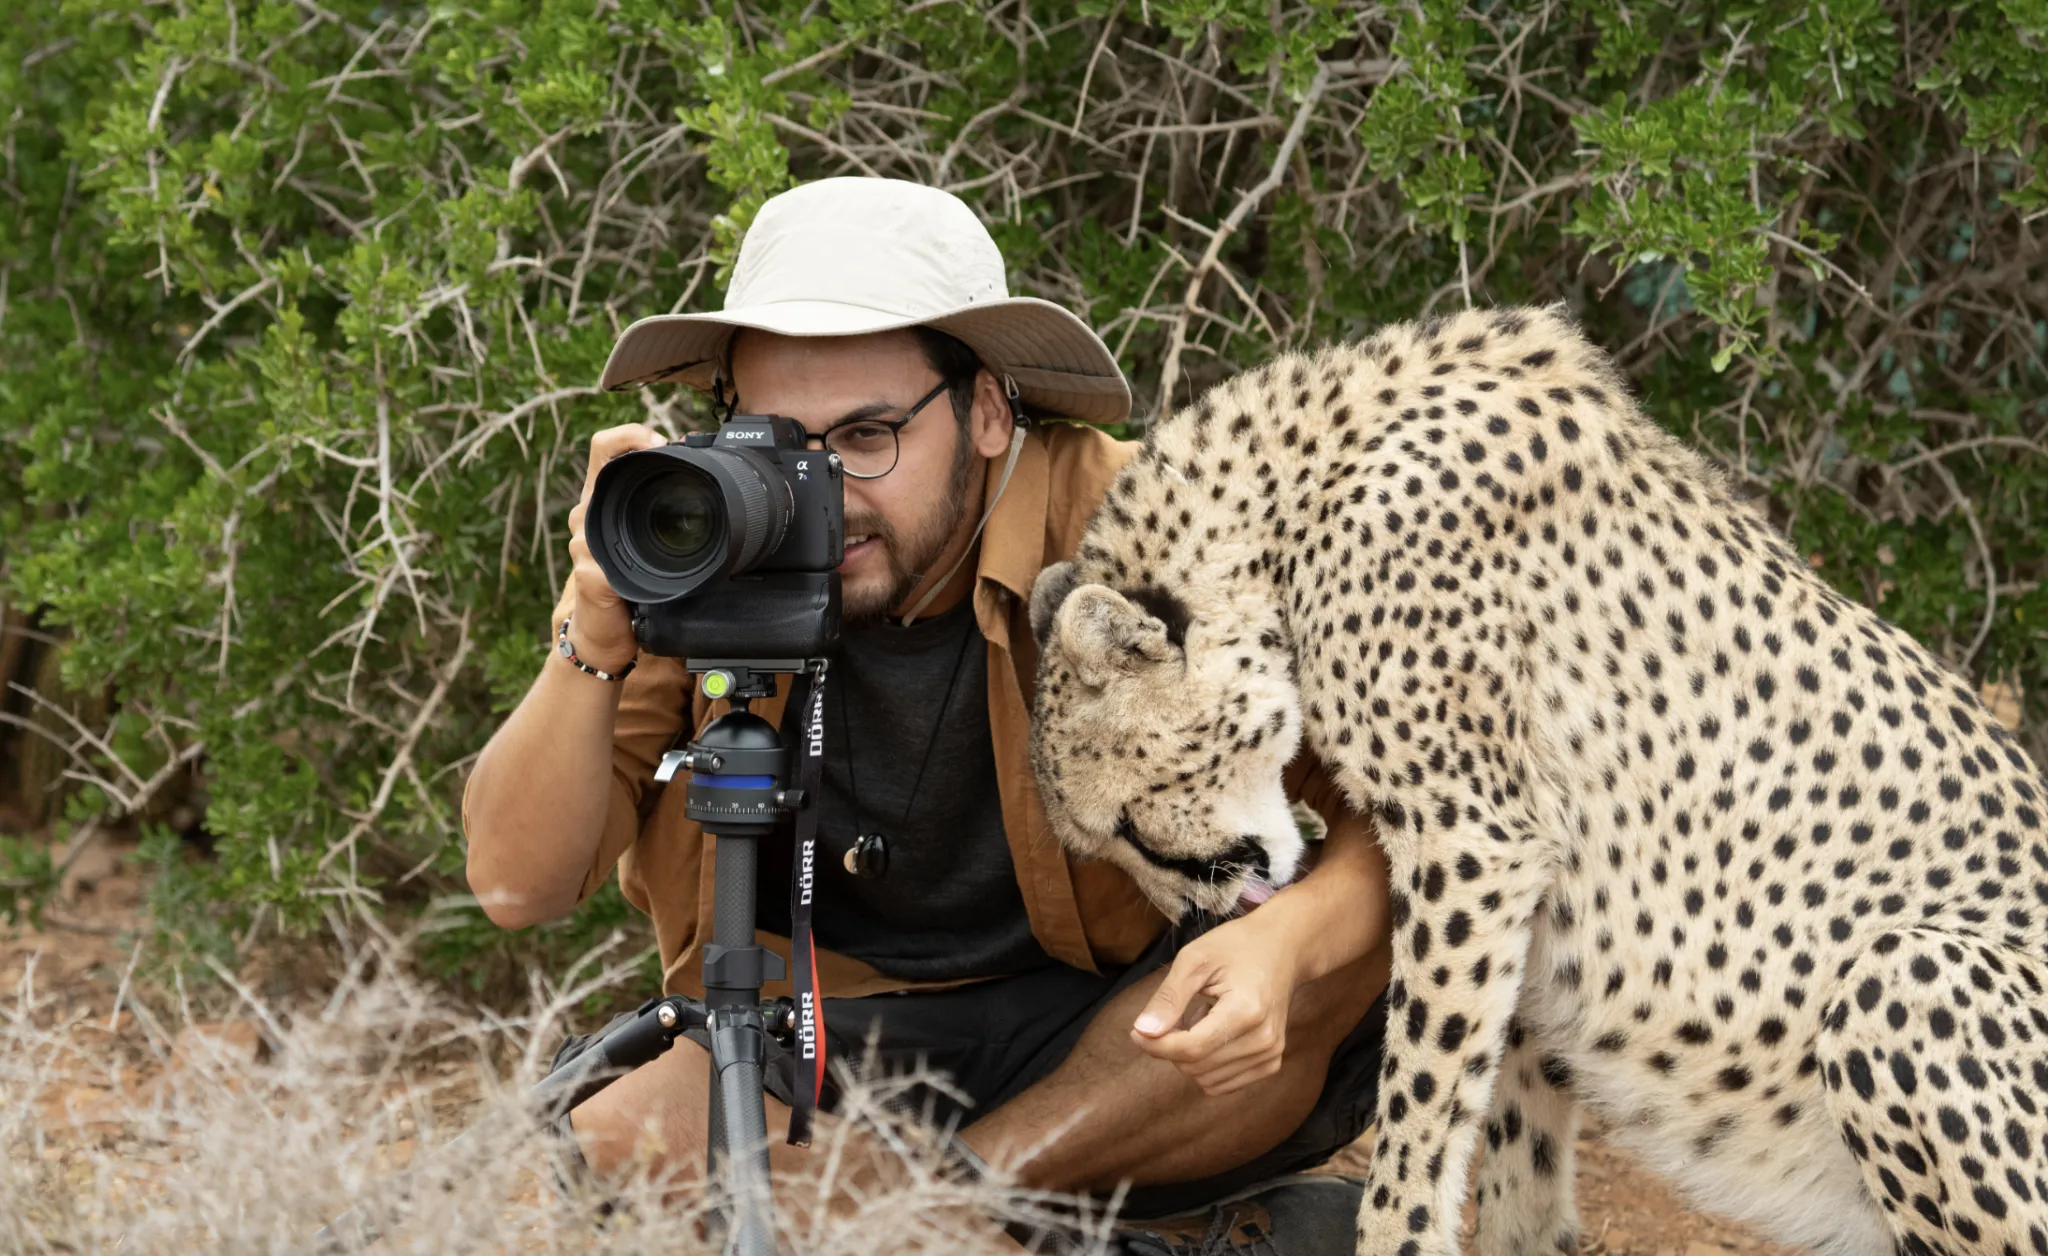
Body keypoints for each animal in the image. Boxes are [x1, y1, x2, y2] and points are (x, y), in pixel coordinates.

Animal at [1024, 305, 2048, 1253]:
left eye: (1128, 828)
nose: (1197, 919)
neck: (1296, 494)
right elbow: (1516, 1155)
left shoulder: (1472, 842)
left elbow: (1417, 1118)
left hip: (1900, 973)